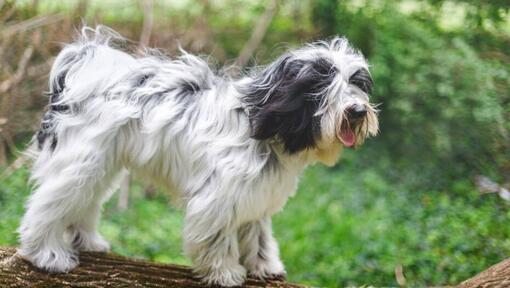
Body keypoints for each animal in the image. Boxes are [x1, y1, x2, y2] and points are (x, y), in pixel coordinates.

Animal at [17, 26, 378, 286]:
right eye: (321, 85)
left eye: (356, 83)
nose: (358, 111)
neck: (260, 123)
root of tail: (85, 69)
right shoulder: (218, 198)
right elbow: (217, 238)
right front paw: (225, 272)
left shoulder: (255, 195)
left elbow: (258, 234)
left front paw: (264, 265)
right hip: (80, 161)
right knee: (47, 205)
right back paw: (47, 254)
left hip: (99, 164)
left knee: (84, 201)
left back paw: (88, 240)